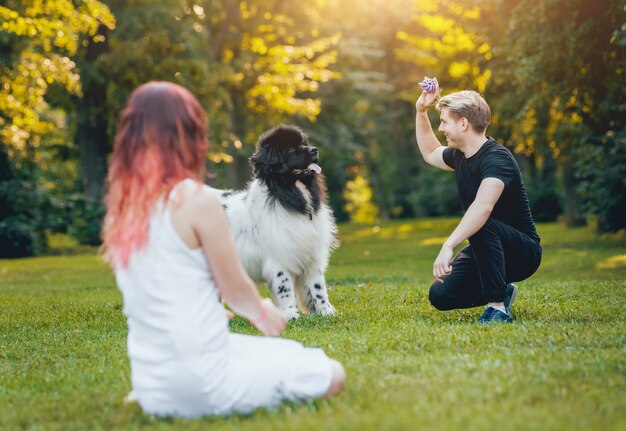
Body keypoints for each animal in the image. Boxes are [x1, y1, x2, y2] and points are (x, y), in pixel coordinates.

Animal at [219, 125, 336, 320]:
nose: (314, 150)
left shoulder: (311, 255)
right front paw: (290, 314)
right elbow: (285, 288)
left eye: (304, 143)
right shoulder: (279, 257)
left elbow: (317, 286)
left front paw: (325, 311)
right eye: (290, 150)